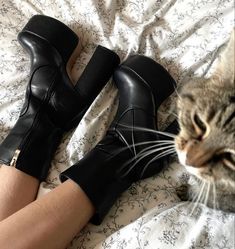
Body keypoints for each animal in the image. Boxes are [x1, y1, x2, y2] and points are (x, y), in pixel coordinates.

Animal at [174, 29, 235, 212]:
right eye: (200, 122)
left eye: (233, 157)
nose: (189, 161)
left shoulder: (224, 199)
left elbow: (207, 197)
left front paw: (187, 192)